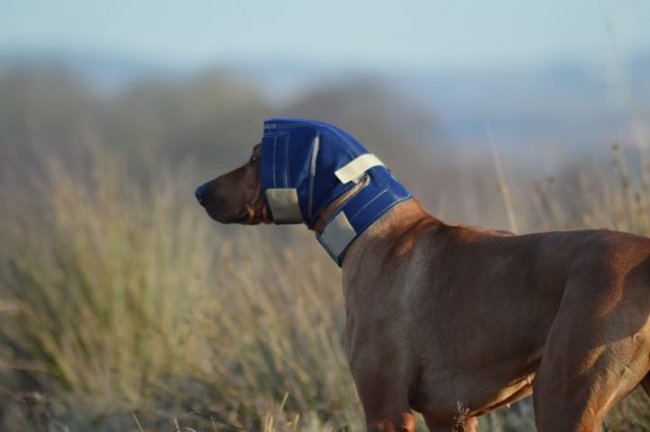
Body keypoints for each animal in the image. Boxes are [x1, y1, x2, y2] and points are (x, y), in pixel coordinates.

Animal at [195, 116, 644, 430]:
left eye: (256, 158)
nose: (199, 191)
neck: (369, 227)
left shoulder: (387, 412)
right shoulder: (449, 417)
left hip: (561, 401)